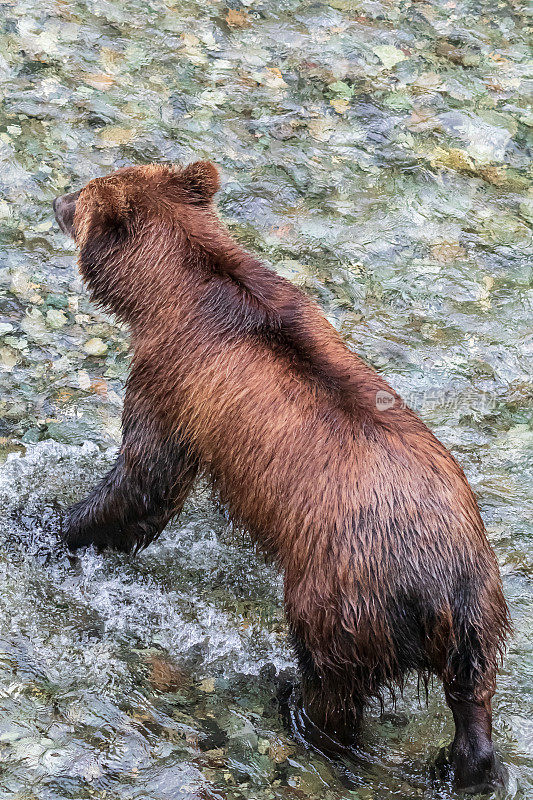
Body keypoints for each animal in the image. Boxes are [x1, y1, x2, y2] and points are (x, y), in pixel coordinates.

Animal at [53, 162, 508, 792]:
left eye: (84, 194)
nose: (56, 200)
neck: (172, 291)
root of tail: (440, 586)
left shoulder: (170, 383)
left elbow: (143, 482)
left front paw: (52, 524)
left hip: (341, 597)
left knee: (332, 684)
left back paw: (296, 705)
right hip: (480, 608)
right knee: (472, 697)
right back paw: (462, 763)